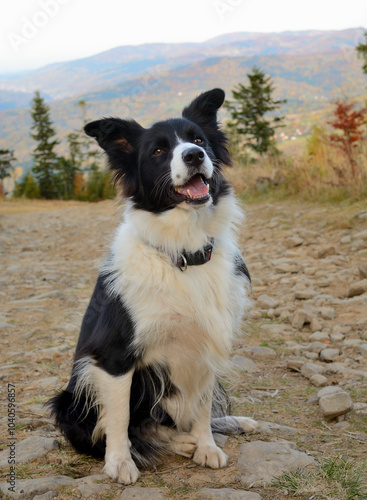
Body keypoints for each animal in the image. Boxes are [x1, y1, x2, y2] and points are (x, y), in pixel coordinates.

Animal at [50, 89, 258, 484]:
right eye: (159, 151)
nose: (194, 156)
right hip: (70, 400)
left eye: (199, 140)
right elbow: (119, 418)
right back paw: (174, 443)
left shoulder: (208, 341)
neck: (182, 254)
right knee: (139, 428)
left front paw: (207, 446)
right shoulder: (114, 354)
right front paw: (120, 463)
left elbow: (203, 406)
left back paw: (229, 424)